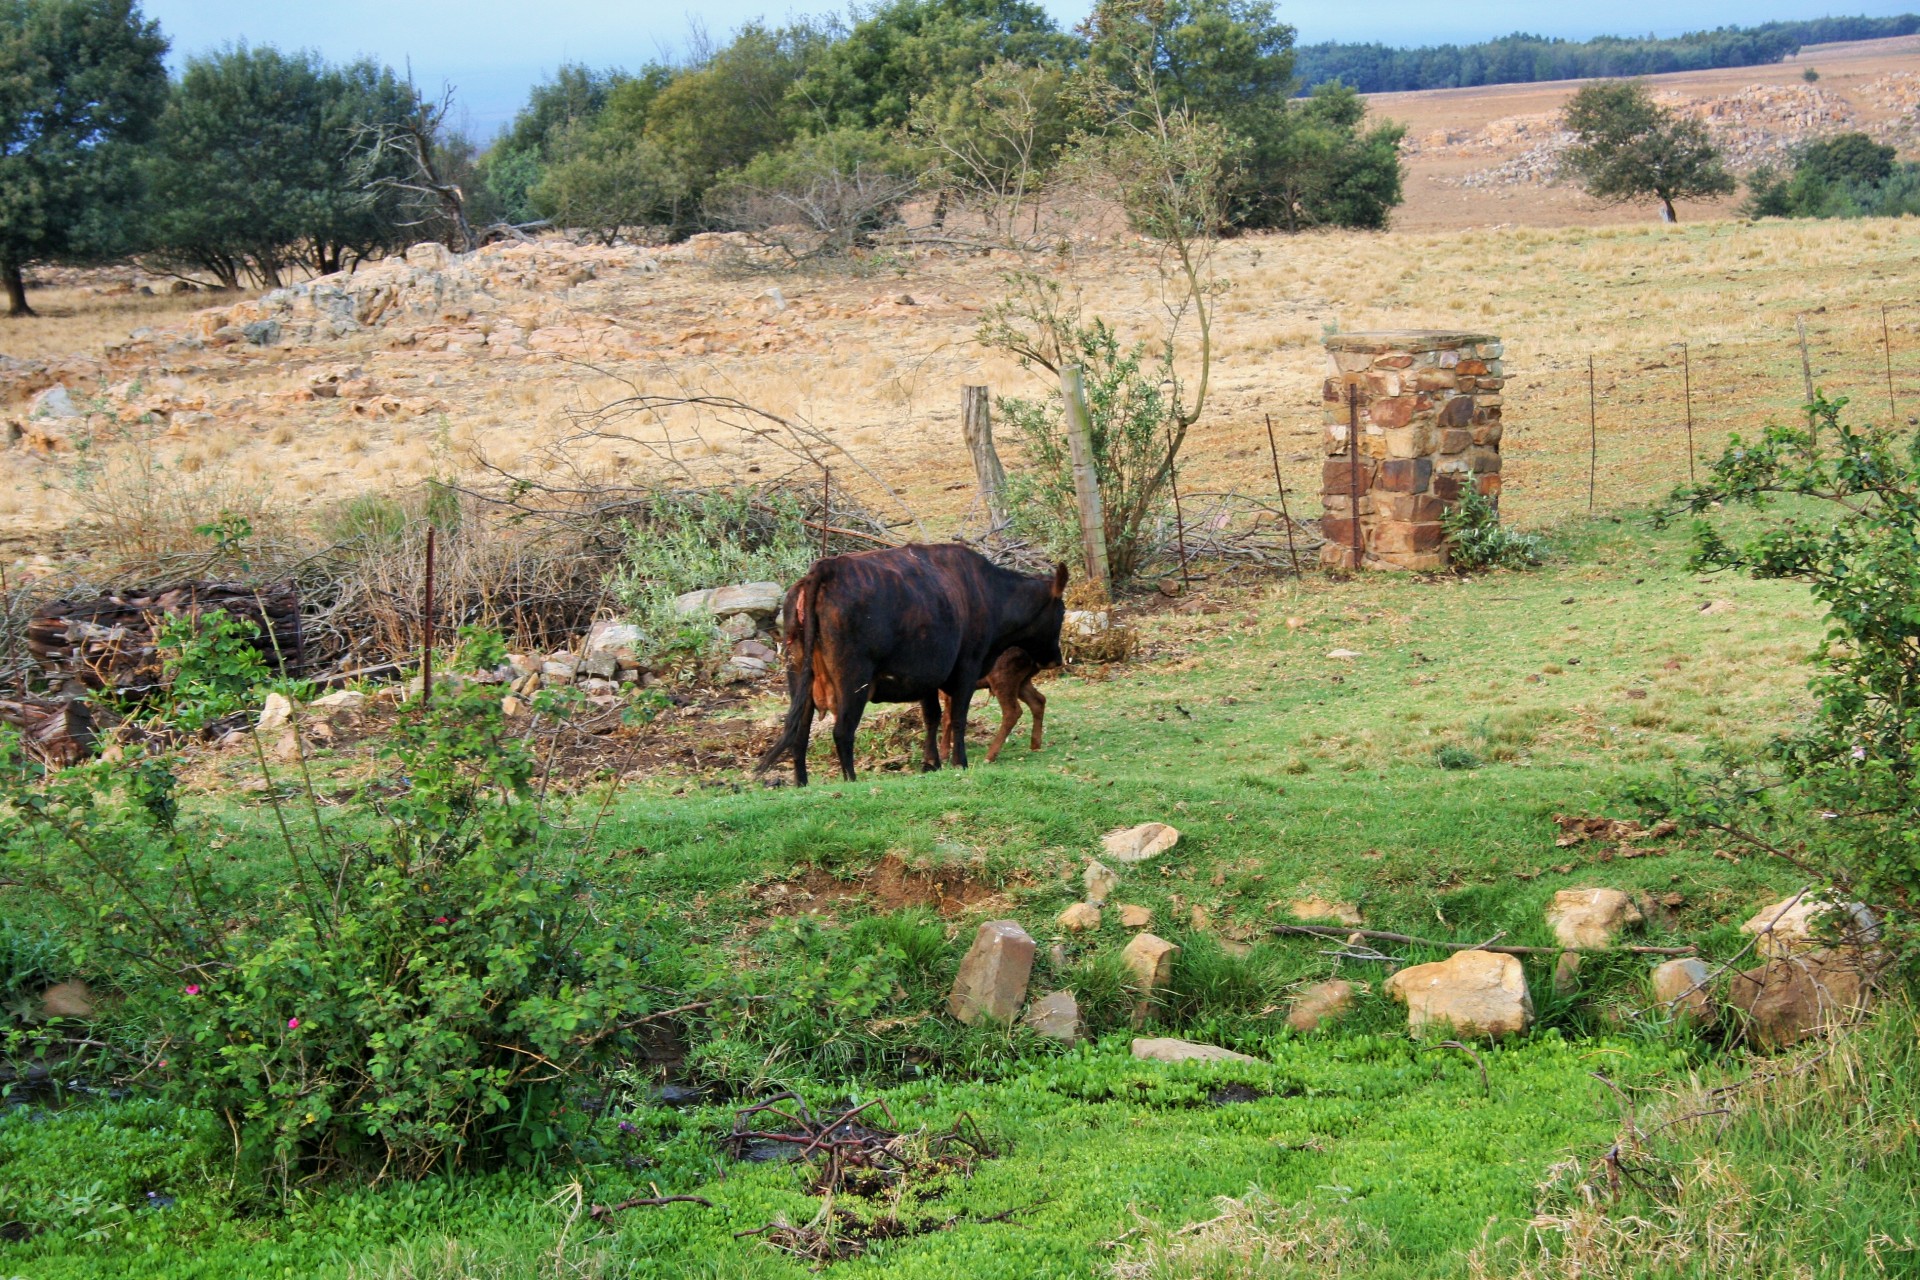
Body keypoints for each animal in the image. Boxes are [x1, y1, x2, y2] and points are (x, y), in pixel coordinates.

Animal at [756, 541, 1075, 782]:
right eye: (1061, 611)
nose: (1055, 659)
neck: (989, 593)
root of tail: (824, 569)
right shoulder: (967, 668)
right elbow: (957, 718)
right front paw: (959, 762)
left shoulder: (927, 677)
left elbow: (932, 717)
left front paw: (931, 762)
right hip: (853, 681)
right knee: (842, 731)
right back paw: (851, 780)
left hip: (800, 677)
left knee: (799, 734)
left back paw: (802, 783)